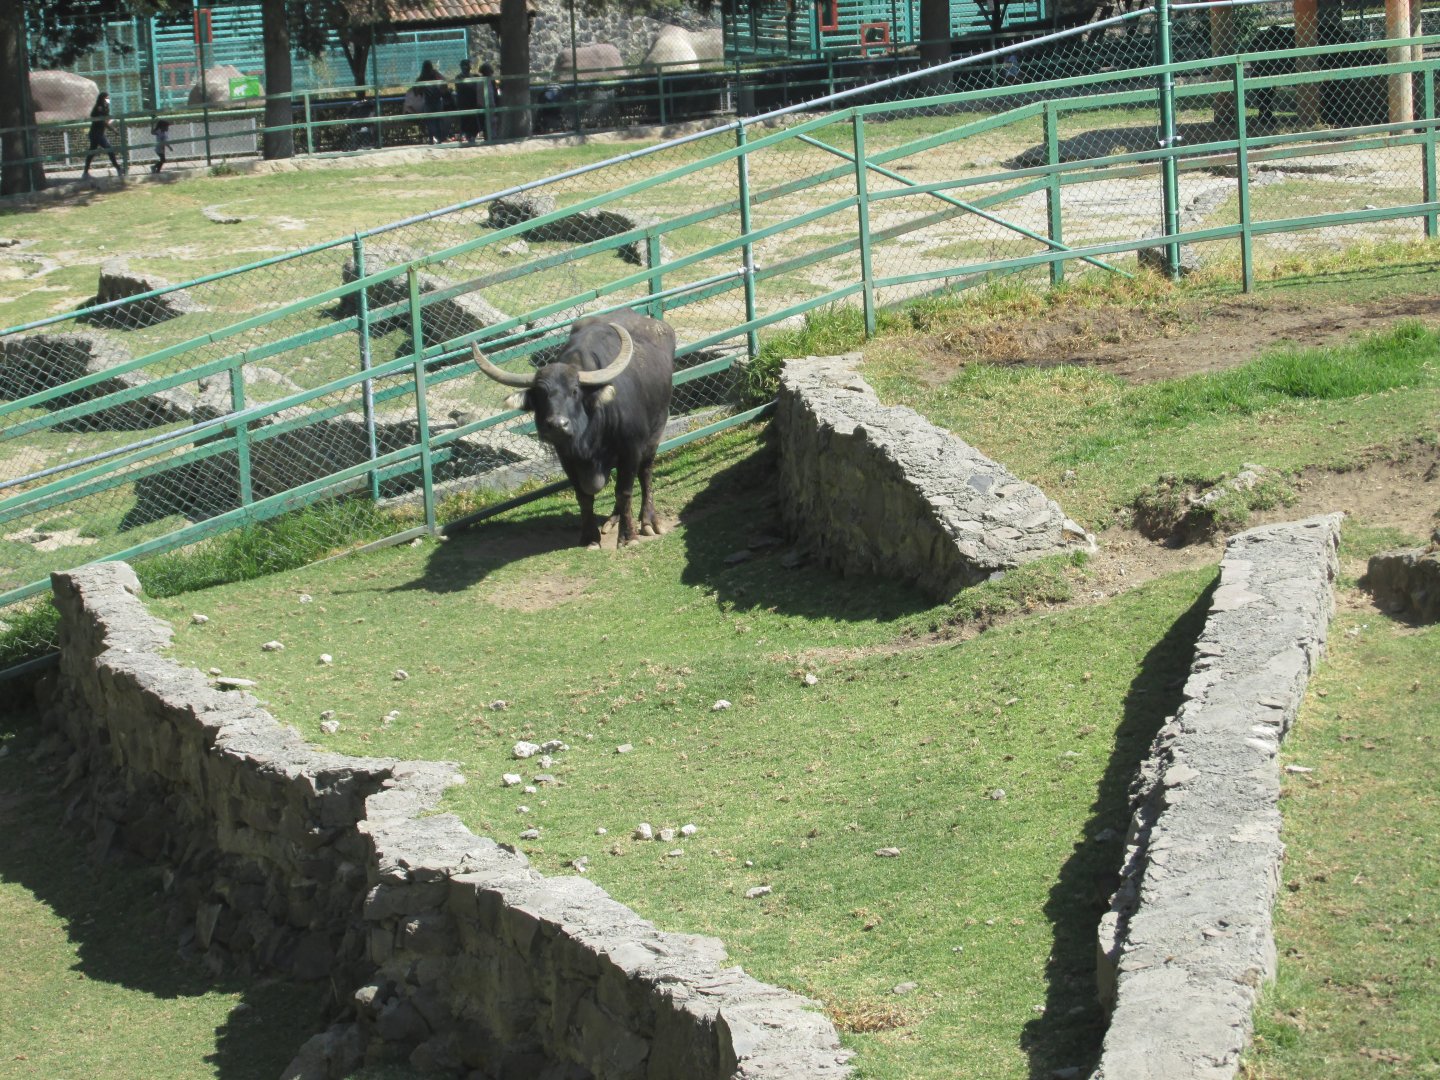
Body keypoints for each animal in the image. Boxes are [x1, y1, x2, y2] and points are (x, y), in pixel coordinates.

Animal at [472, 310, 674, 547]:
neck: (589, 441)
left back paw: (648, 521)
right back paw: (612, 519)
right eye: (540, 394)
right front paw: (590, 537)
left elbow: (624, 491)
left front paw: (628, 536)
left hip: (655, 432)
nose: (557, 425)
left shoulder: (631, 449)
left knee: (645, 474)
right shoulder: (566, 457)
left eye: (575, 391)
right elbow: (584, 496)